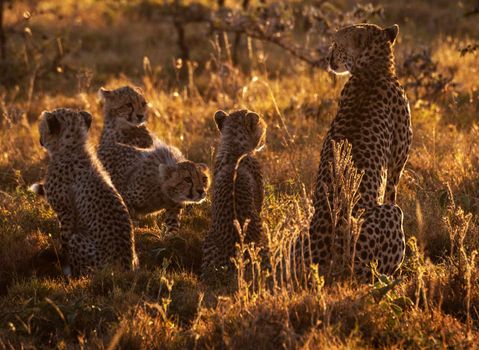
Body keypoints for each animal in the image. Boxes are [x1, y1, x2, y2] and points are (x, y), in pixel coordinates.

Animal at [38, 108, 139, 274]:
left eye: (42, 128)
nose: (40, 139)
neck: (73, 147)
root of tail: (125, 267)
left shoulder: (65, 212)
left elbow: (64, 241)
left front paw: (65, 270)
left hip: (81, 244)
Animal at [97, 86, 210, 234]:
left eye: (204, 179)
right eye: (187, 179)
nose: (201, 191)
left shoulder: (173, 206)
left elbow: (172, 222)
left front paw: (172, 235)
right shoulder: (126, 197)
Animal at [302, 23, 414, 278]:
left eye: (337, 45)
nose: (328, 59)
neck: (371, 68)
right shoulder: (396, 165)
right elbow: (392, 190)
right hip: (390, 216)